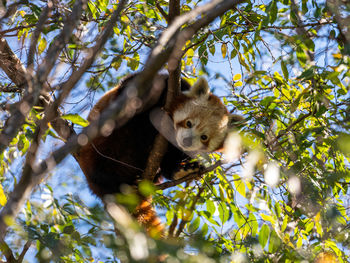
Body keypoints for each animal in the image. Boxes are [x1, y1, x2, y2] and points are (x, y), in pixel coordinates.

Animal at [75, 73, 242, 235]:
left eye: (204, 137)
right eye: (188, 123)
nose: (187, 141)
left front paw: (183, 166)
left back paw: (178, 171)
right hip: (102, 149)